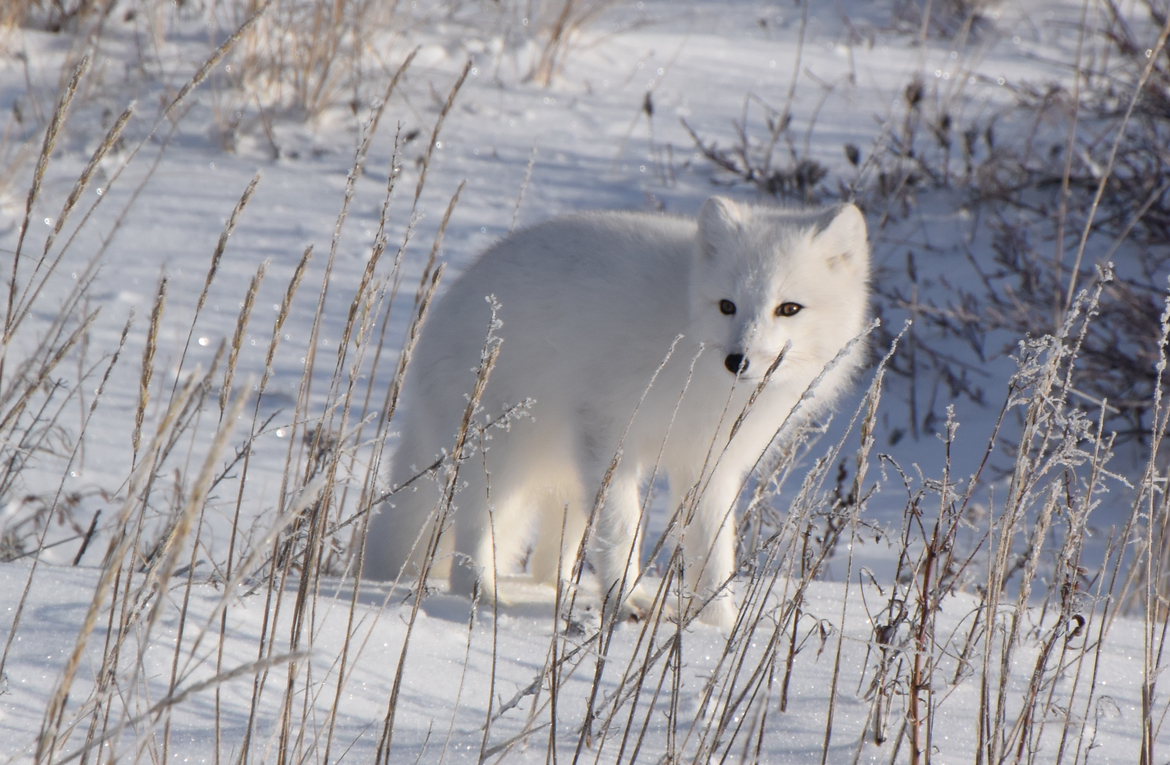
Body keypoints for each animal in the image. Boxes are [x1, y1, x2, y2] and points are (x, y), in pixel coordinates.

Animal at [363, 196, 870, 629]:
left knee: (547, 563)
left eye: (789, 308)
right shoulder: (608, 433)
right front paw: (624, 601)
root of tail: (440, 313)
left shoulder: (710, 463)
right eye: (728, 305)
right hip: (502, 457)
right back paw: (488, 599)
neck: (687, 338)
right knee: (470, 543)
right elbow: (623, 528)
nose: (738, 361)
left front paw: (717, 625)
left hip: (564, 476)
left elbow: (712, 550)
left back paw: (566, 592)